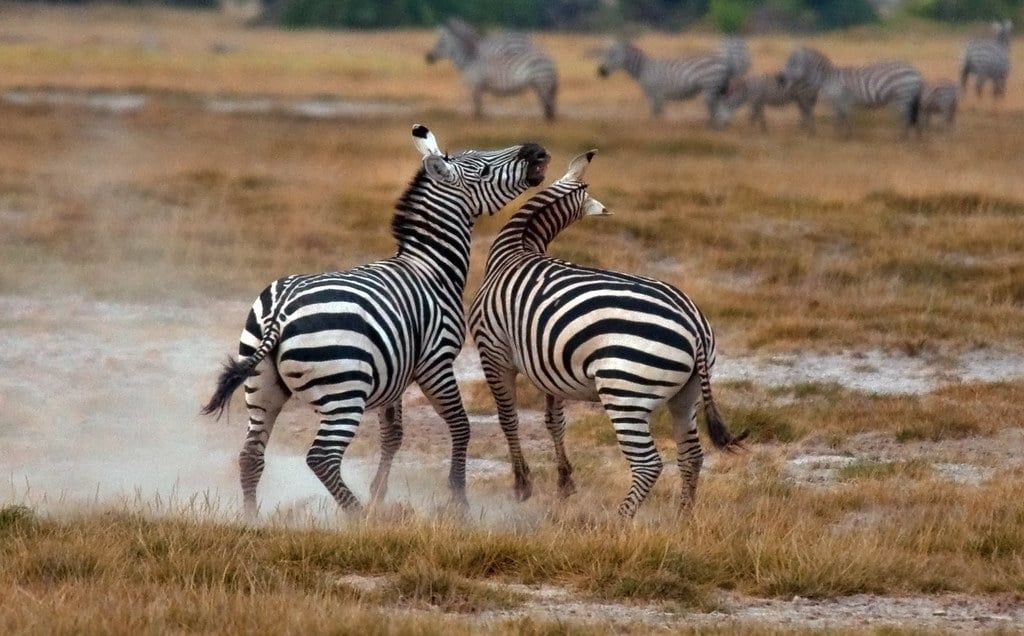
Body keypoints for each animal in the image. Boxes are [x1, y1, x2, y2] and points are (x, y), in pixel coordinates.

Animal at [202, 125, 550, 516]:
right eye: (485, 169)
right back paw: (356, 518)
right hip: (343, 392)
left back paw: (253, 518)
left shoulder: (393, 374)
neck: (431, 267)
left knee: (250, 455)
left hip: (262, 386)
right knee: (321, 458)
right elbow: (461, 426)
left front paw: (378, 495)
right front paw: (458, 500)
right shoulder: (436, 362)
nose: (537, 151)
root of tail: (281, 309)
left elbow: (393, 435)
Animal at [426, 18, 558, 121]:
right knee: (547, 107)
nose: (428, 58)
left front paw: (477, 123)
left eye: (440, 44)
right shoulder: (477, 87)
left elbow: (478, 108)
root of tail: (549, 60)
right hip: (538, 85)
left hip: (542, 83)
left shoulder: (476, 86)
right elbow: (479, 108)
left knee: (548, 106)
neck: (469, 60)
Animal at [468, 151, 745, 518]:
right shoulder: (547, 365)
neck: (518, 247)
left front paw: (522, 485)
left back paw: (619, 521)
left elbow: (508, 419)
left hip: (625, 392)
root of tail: (694, 324)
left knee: (648, 465)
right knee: (692, 456)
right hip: (687, 394)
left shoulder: (493, 353)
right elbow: (554, 421)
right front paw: (565, 483)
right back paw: (683, 518)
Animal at [597, 40, 738, 125]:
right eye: (605, 54)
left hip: (710, 86)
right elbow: (658, 111)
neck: (643, 69)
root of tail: (725, 63)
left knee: (714, 107)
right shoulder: (657, 94)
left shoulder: (654, 92)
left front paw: (658, 127)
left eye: (613, 55)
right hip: (717, 88)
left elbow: (656, 111)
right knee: (721, 107)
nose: (601, 72)